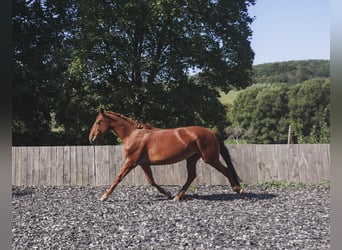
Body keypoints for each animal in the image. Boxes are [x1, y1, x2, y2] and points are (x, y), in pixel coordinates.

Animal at [88, 109, 243, 201]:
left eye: (98, 122)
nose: (91, 138)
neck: (133, 135)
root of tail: (211, 132)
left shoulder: (131, 162)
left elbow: (118, 177)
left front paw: (104, 196)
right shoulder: (143, 163)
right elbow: (151, 181)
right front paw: (167, 193)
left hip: (210, 159)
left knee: (225, 170)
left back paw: (238, 189)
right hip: (192, 158)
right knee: (192, 176)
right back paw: (177, 196)